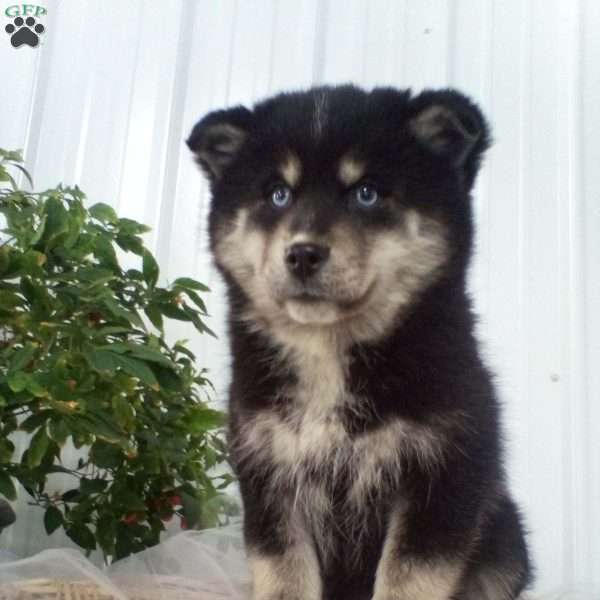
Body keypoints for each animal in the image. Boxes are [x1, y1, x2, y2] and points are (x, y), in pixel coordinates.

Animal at [190, 84, 532, 600]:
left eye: (366, 193)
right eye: (277, 194)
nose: (303, 253)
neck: (330, 353)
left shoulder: (443, 476)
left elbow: (407, 581)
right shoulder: (269, 477)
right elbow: (285, 576)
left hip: (506, 541)